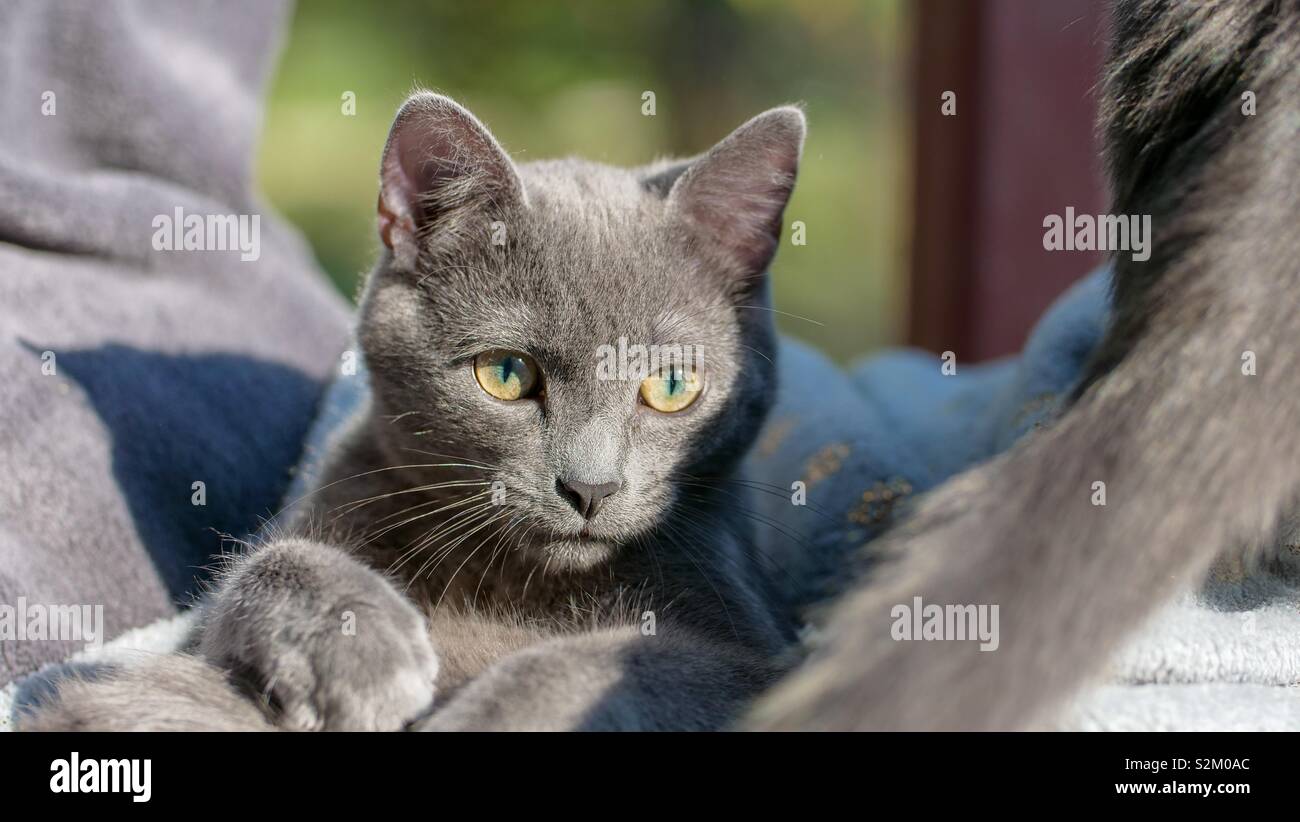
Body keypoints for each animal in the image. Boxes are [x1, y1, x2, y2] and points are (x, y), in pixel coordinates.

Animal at [22, 91, 800, 733]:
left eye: (671, 385)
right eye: (506, 374)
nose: (591, 487)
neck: (518, 576)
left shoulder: (758, 663)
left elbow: (594, 662)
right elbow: (259, 566)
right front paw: (356, 649)